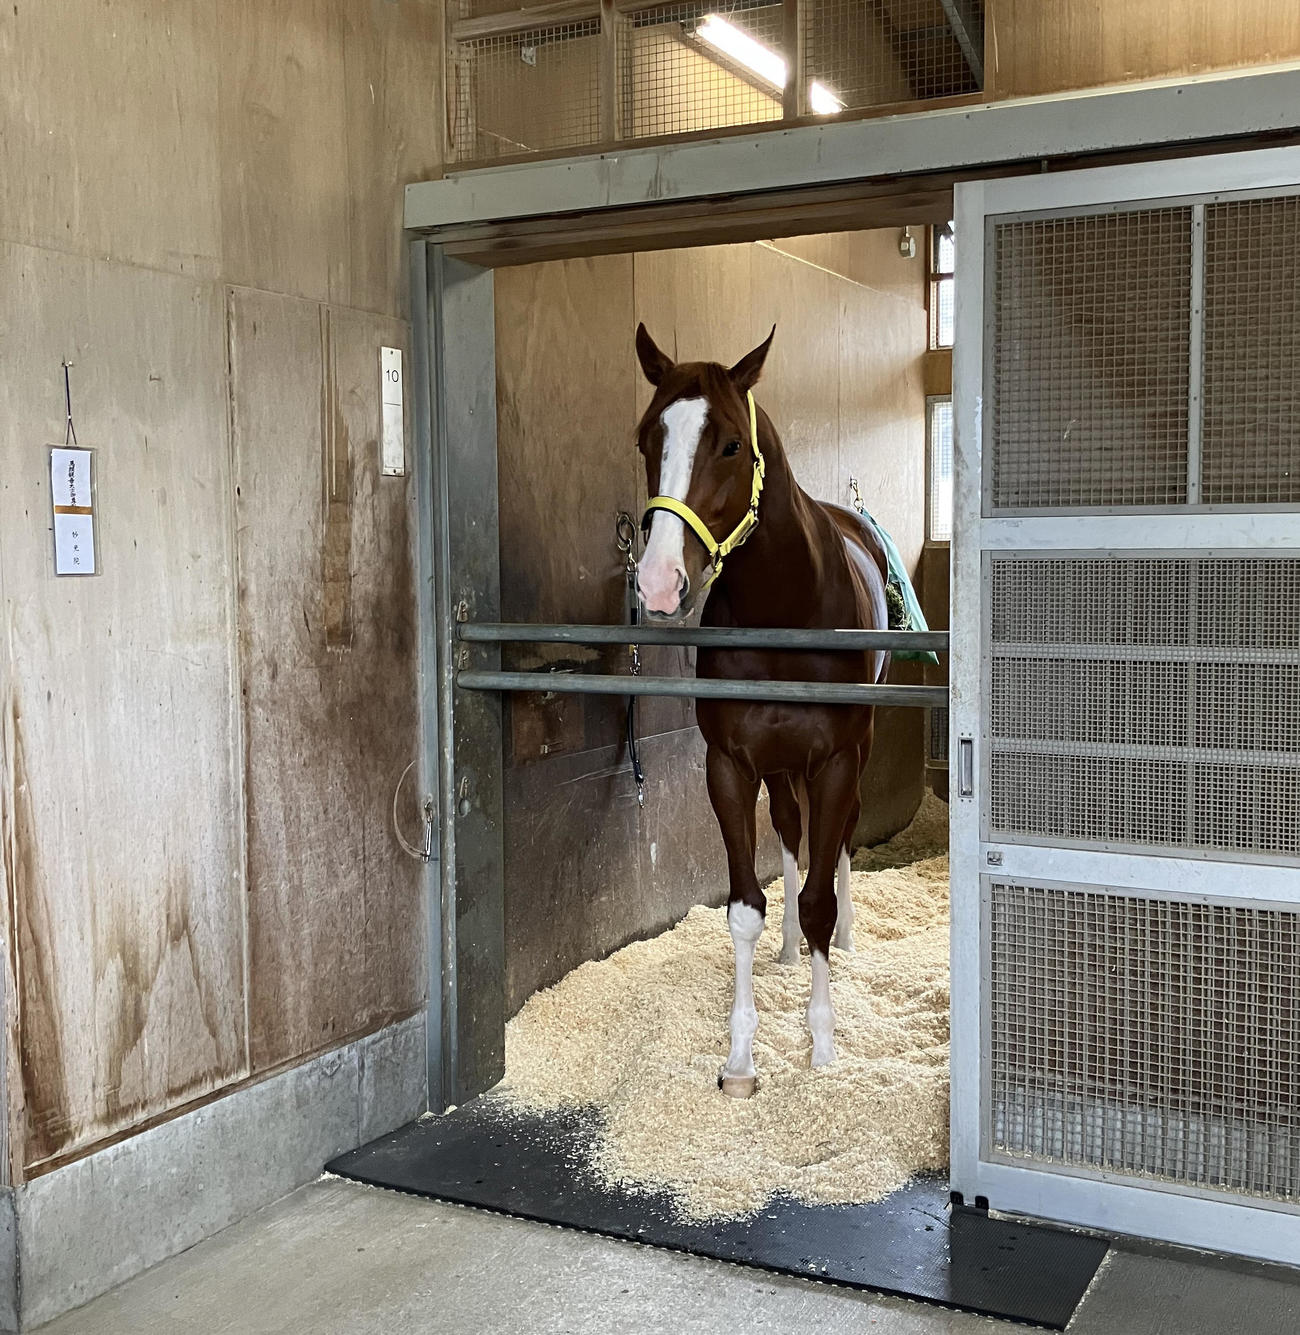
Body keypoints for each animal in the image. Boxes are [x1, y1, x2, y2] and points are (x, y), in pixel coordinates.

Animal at [632, 323, 890, 1099]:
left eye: (728, 445)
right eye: (646, 438)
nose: (659, 584)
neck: (788, 604)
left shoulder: (834, 761)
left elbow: (818, 894)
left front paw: (824, 1046)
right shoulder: (732, 764)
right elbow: (747, 905)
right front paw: (741, 1059)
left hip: (853, 756)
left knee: (838, 844)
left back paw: (844, 939)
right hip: (779, 767)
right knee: (789, 832)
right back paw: (787, 951)